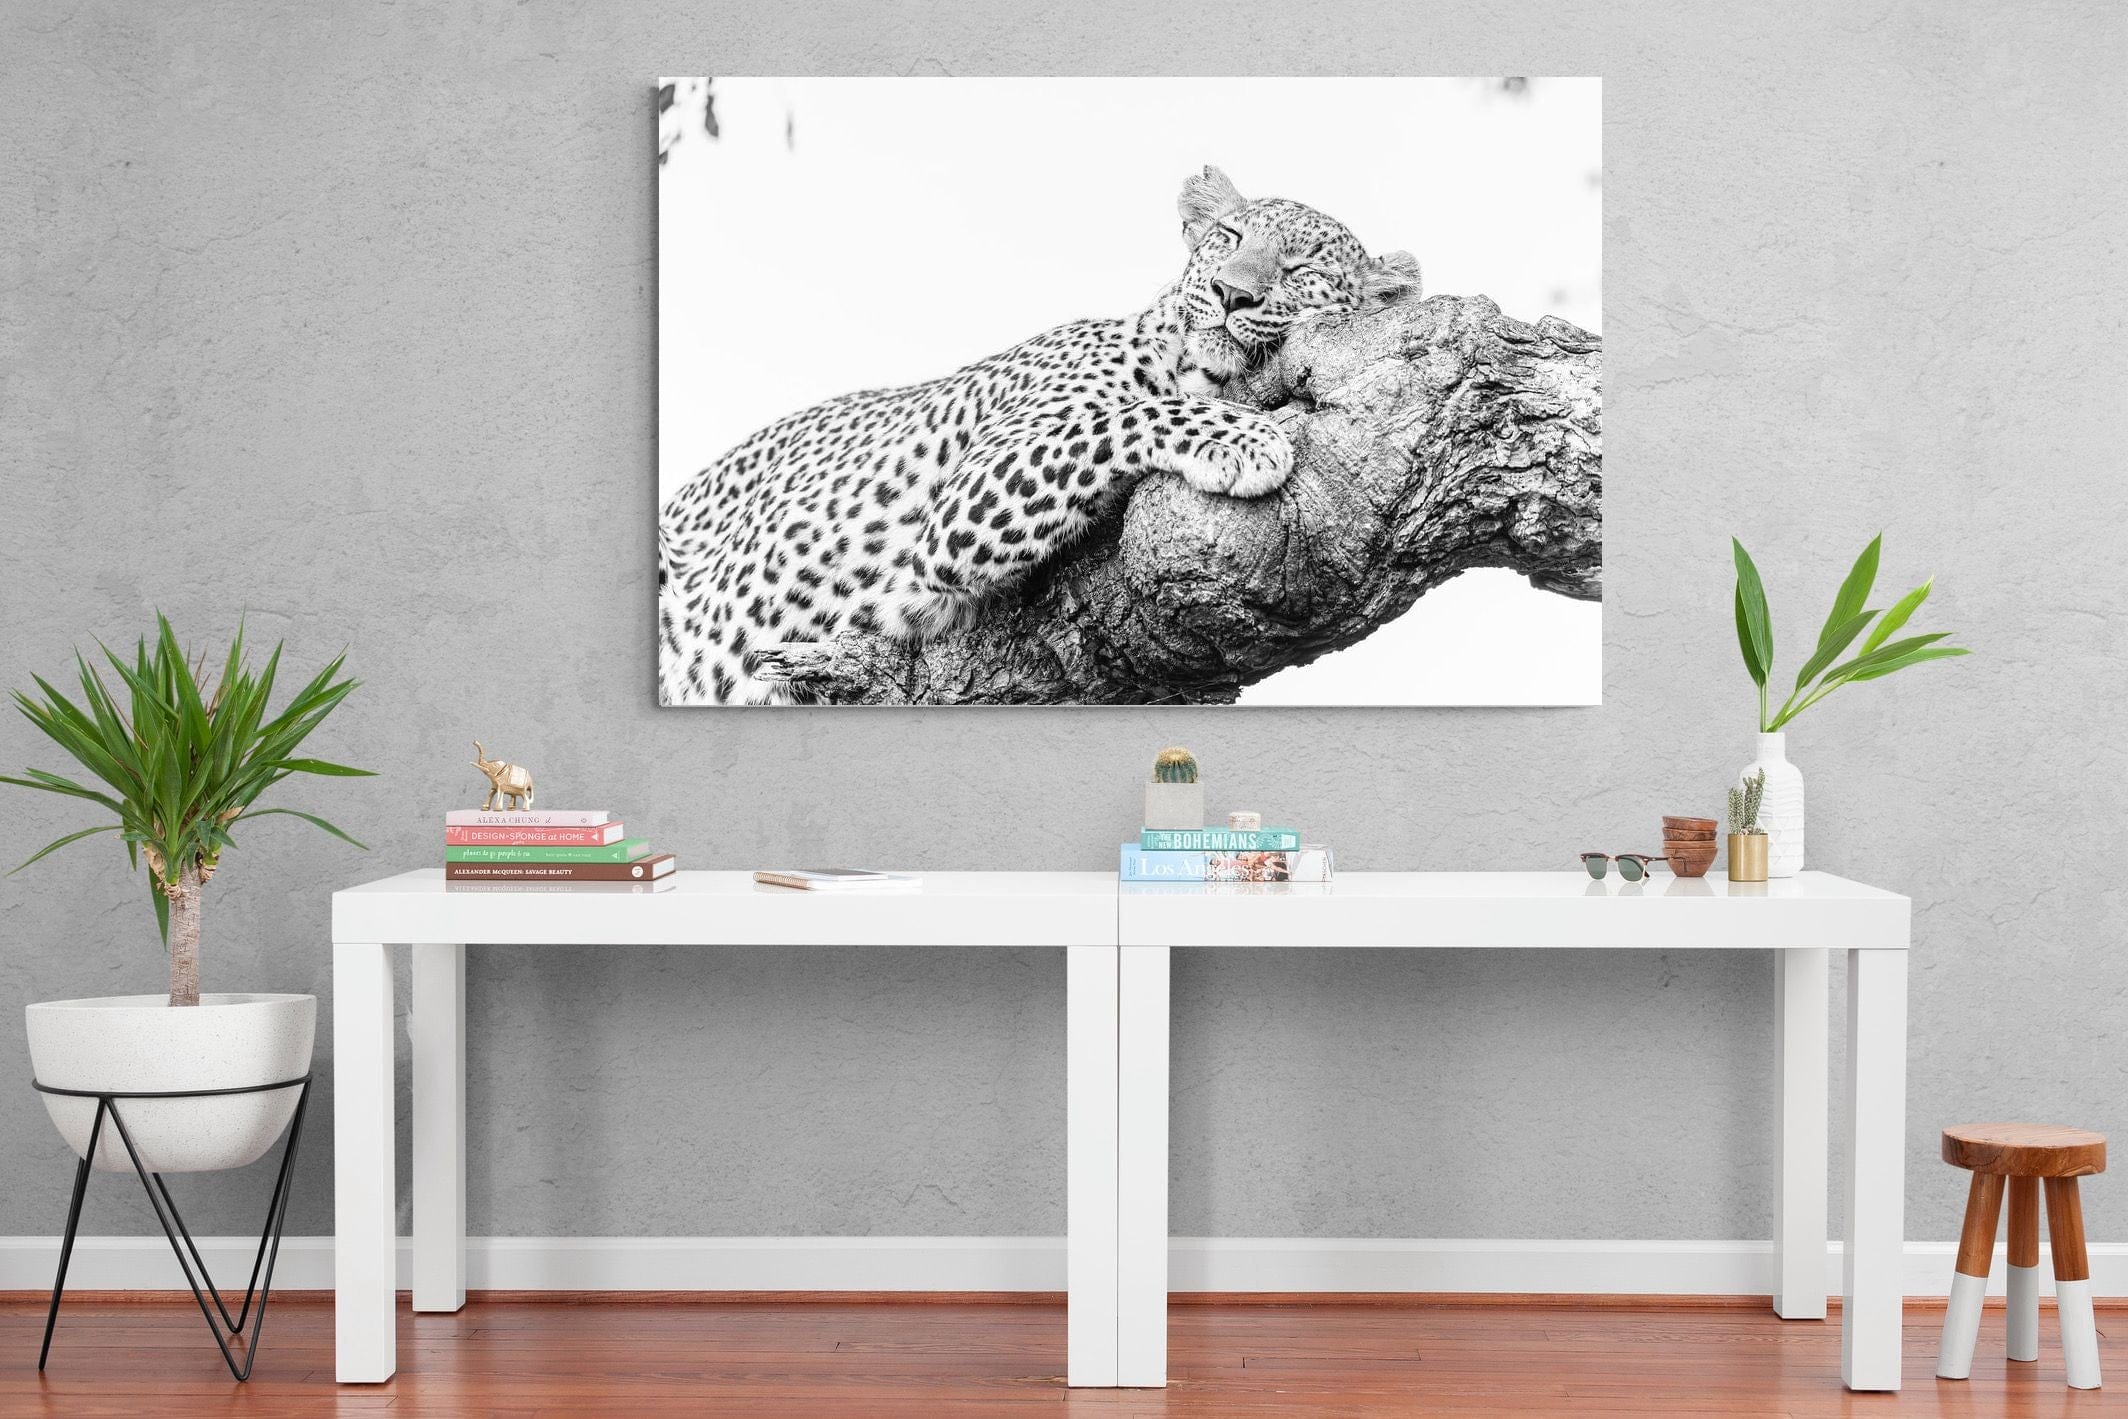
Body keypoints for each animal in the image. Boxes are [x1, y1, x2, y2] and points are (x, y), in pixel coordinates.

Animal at [657, 166, 1421, 704]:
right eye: (1229, 239)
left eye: (1301, 268)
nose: (1234, 294)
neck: (1189, 361)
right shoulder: (962, 502)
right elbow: (1122, 417)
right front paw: (1245, 437)